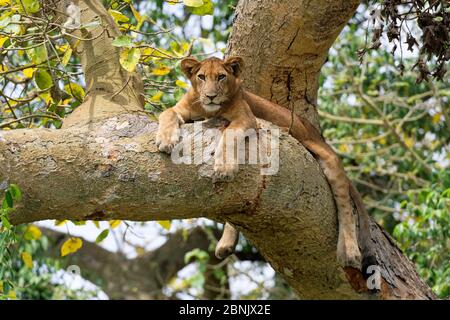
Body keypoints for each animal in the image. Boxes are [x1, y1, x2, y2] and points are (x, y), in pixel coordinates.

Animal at [156, 56, 374, 272]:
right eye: (201, 77)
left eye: (221, 77)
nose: (210, 96)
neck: (208, 110)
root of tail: (316, 133)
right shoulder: (182, 109)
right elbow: (166, 113)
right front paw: (166, 140)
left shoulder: (246, 118)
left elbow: (229, 134)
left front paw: (224, 167)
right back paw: (226, 243)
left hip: (329, 159)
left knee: (345, 207)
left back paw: (350, 252)